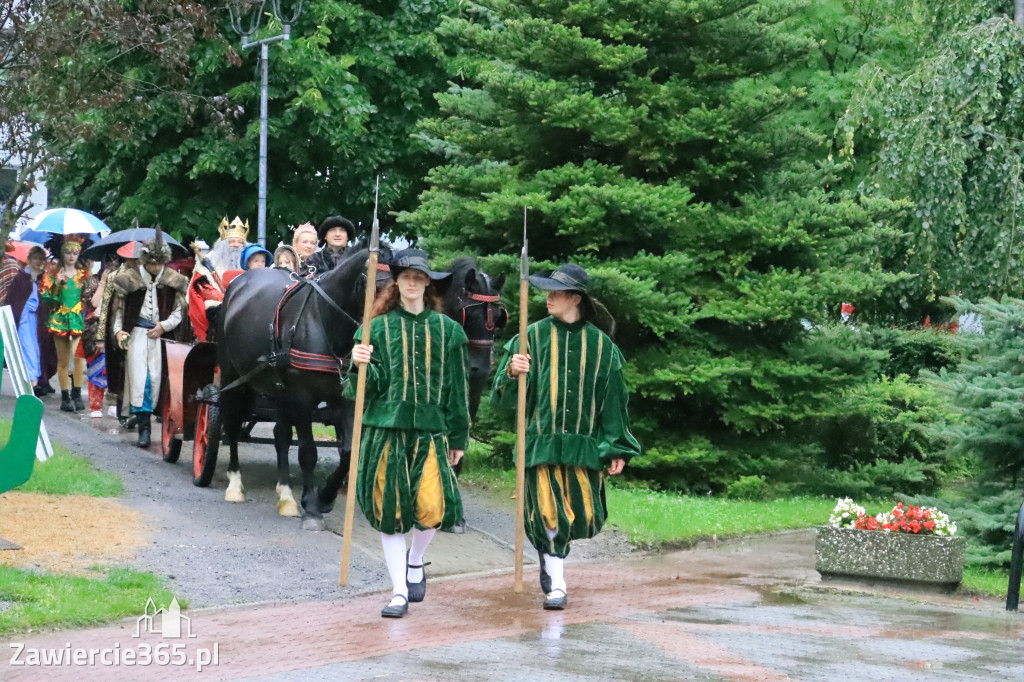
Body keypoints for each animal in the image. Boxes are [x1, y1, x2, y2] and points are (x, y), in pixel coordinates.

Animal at [214, 248, 370, 524]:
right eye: (372, 279)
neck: (325, 322)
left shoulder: (345, 398)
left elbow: (349, 452)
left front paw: (325, 496)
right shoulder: (302, 398)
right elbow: (308, 452)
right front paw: (311, 503)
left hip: (278, 390)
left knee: (281, 436)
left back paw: (285, 494)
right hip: (233, 377)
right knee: (232, 424)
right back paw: (235, 484)